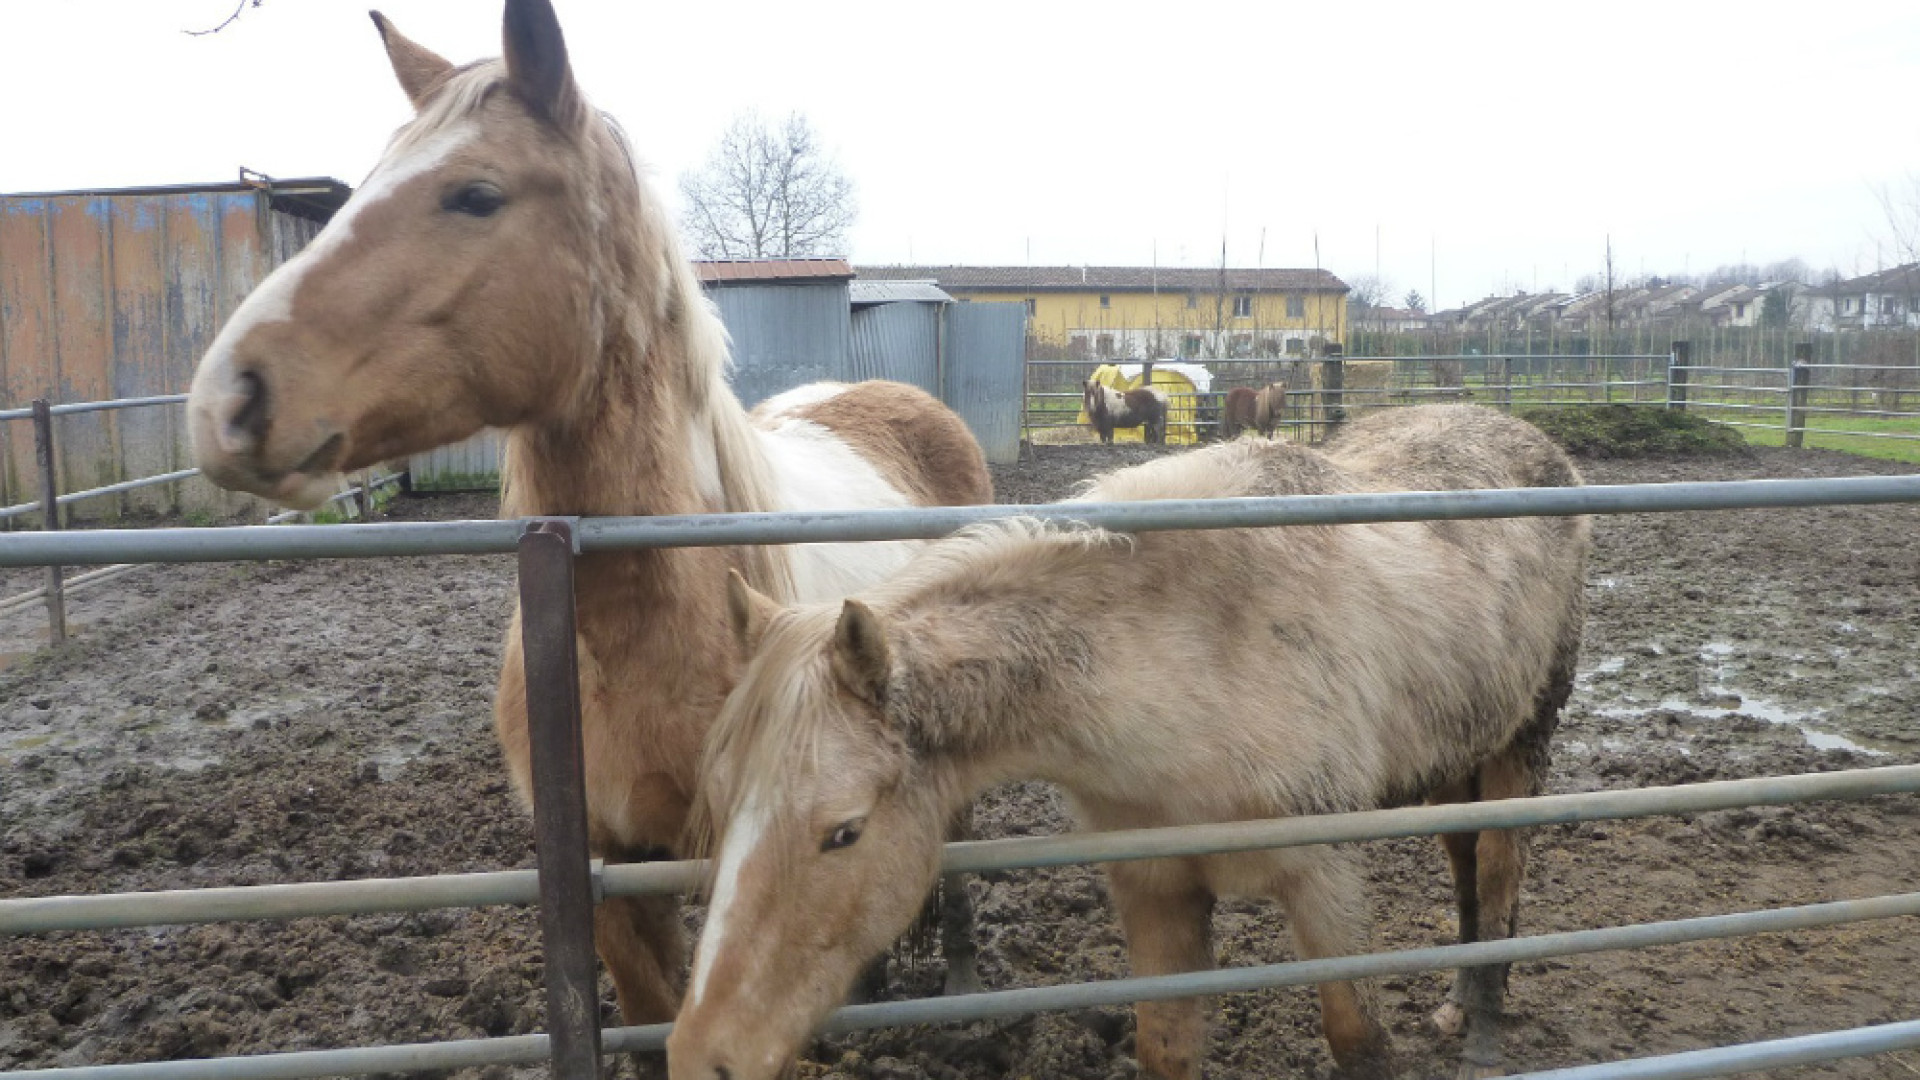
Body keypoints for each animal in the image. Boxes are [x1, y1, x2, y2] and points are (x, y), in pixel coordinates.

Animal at [671, 404, 1591, 1080]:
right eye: (718, 808)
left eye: (845, 832)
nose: (701, 1054)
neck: (1193, 658)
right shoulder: (1154, 890)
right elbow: (1166, 1049)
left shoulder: (1323, 882)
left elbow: (1357, 1044)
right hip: (1455, 759)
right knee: (1467, 865)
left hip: (1522, 743)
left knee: (1501, 871)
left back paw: (1482, 1024)